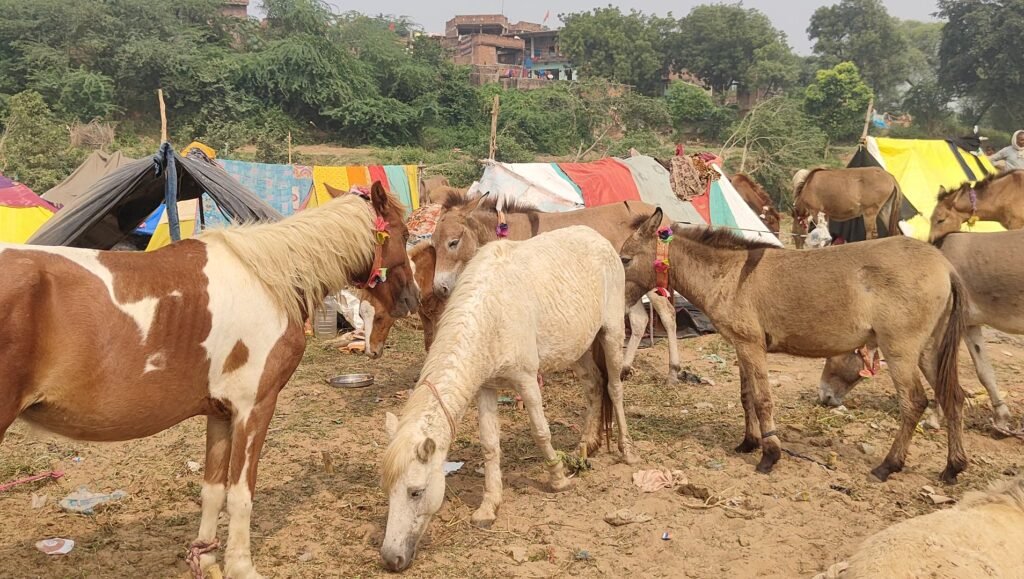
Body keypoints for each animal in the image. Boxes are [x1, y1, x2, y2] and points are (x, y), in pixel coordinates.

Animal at [0, 183, 418, 579]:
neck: (267, 279)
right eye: (405, 232)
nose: (411, 298)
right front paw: (241, 566)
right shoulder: (255, 408)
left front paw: (207, 557)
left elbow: (213, 491)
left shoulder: (219, 413)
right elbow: (241, 493)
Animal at [379, 226, 637, 572]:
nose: (391, 558)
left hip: (610, 333)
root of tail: (597, 237)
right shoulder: (486, 389)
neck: (490, 315)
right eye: (388, 491)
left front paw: (558, 480)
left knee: (614, 390)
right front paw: (489, 507)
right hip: (579, 347)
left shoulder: (526, 380)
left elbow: (541, 432)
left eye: (416, 493)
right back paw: (583, 448)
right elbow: (490, 446)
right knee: (594, 387)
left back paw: (626, 450)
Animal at [430, 193, 684, 385]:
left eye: (453, 242)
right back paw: (623, 368)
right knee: (641, 320)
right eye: (432, 244)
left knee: (668, 315)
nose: (439, 289)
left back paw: (672, 371)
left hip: (650, 279)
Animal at [618, 209, 968, 483]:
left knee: (914, 402)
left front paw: (769, 455)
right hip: (929, 350)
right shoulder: (742, 346)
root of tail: (946, 267)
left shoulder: (751, 346)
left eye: (624, 259)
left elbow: (762, 400)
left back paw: (888, 465)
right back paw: (952, 468)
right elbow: (746, 396)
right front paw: (749, 443)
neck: (729, 276)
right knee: (953, 396)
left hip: (900, 350)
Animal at [819, 229, 1024, 431]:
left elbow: (943, 374)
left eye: (831, 356)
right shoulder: (969, 325)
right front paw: (1001, 419)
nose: (825, 398)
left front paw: (933, 420)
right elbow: (984, 372)